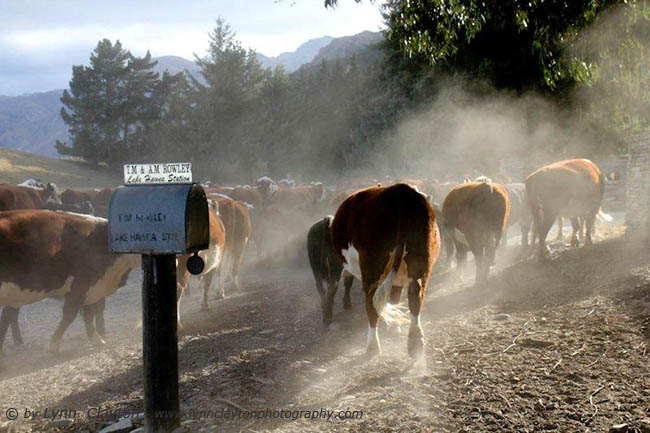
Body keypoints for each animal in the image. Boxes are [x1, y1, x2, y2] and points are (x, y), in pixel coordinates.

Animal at [0, 210, 138, 354]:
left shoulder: (92, 290)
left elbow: (88, 315)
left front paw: (96, 338)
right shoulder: (81, 286)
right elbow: (70, 315)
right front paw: (54, 344)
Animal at [330, 184, 440, 356]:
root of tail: (401, 191)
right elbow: (394, 299)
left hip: (372, 268)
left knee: (371, 304)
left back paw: (372, 345)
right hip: (420, 263)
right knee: (416, 297)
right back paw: (415, 343)